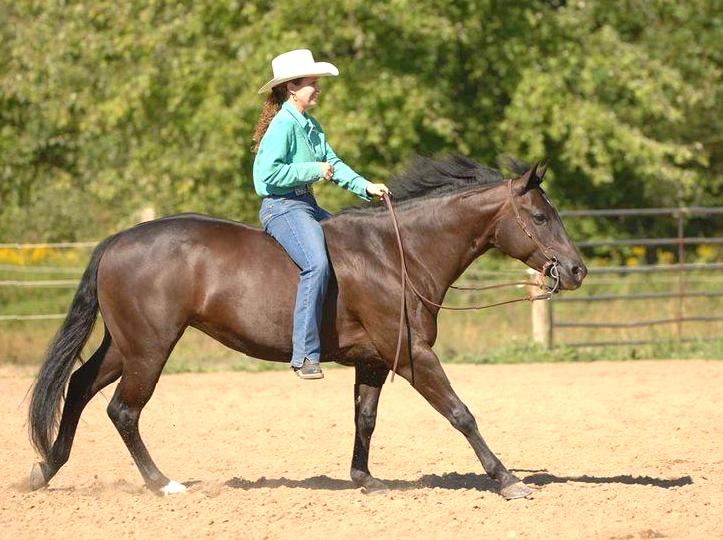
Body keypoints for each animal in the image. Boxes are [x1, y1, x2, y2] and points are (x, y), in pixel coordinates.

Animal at [26, 154, 588, 500]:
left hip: (125, 345)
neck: (396, 254)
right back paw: (162, 483)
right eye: (541, 216)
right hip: (149, 349)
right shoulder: (413, 356)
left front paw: (364, 479)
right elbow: (461, 413)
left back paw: (46, 469)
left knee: (79, 387)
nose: (577, 270)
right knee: (123, 410)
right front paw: (508, 479)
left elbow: (365, 419)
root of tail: (117, 241)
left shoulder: (374, 361)